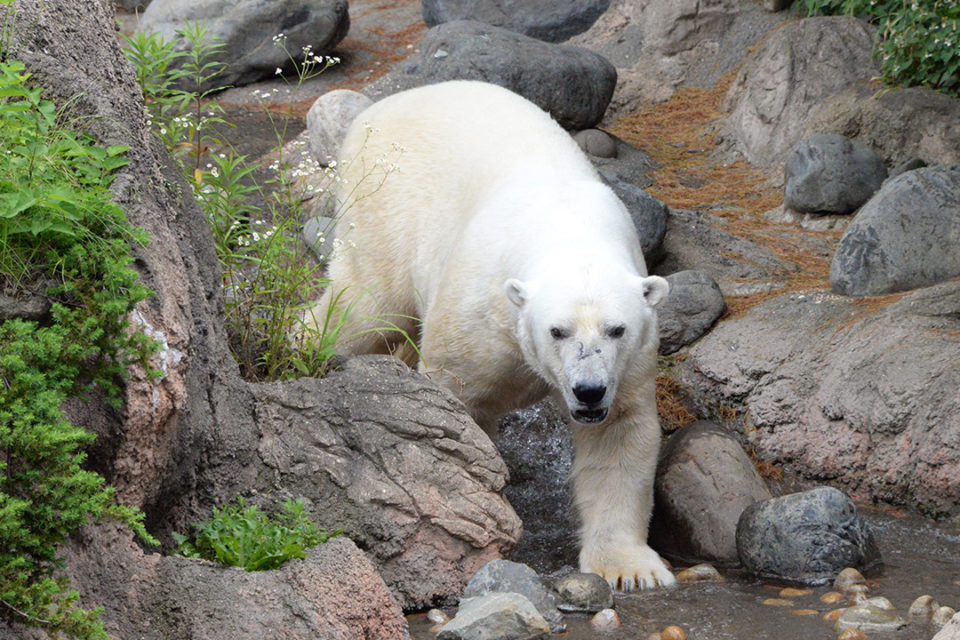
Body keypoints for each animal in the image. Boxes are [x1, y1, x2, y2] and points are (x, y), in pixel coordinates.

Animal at [308, 82, 676, 592]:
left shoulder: (631, 359)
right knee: (364, 307)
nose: (588, 390)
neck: (568, 229)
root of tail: (381, 106)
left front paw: (630, 567)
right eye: (557, 330)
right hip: (385, 201)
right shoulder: (480, 315)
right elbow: (457, 401)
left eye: (616, 329)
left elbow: (619, 435)